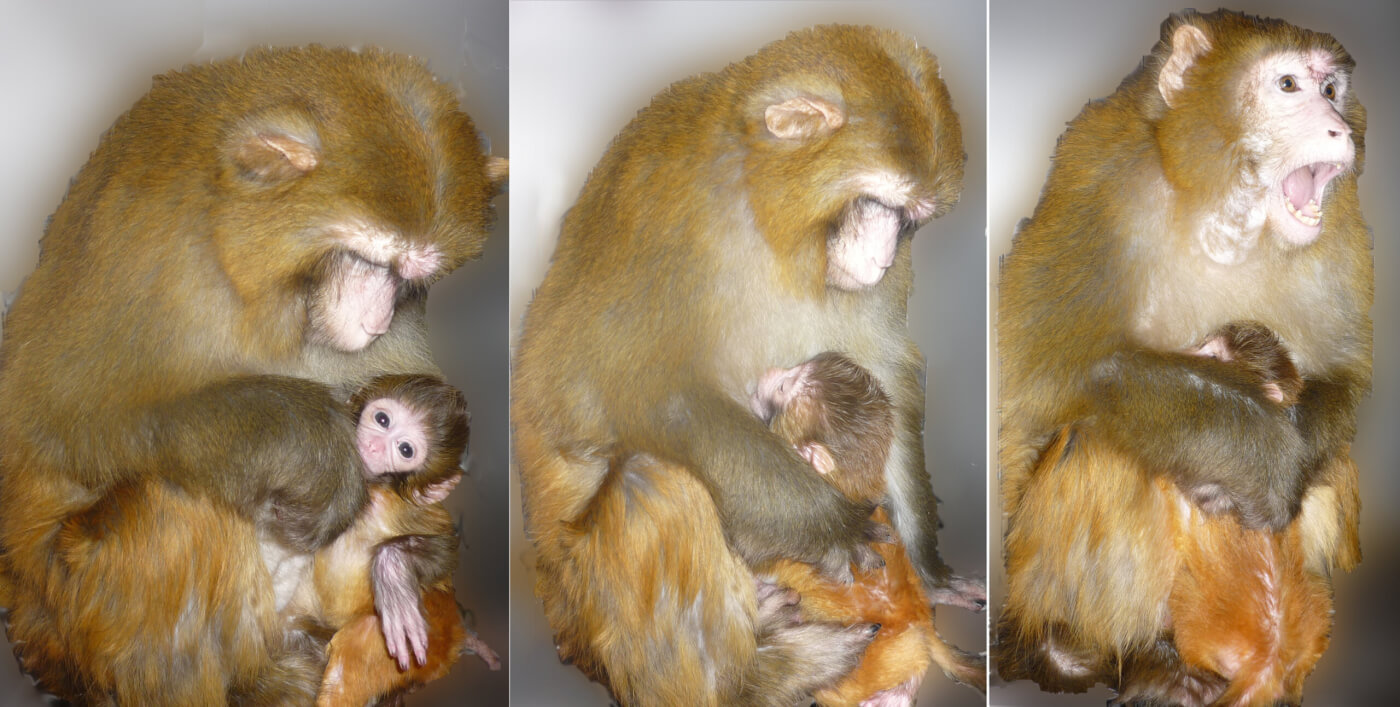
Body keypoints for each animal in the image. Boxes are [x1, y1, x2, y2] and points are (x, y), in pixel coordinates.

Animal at [0, 46, 506, 704]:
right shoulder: (152, 262)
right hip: (74, 614)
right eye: (366, 258)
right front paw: (315, 449)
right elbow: (76, 426)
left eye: (406, 278)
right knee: (170, 502)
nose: (373, 320)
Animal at [996, 9, 1370, 704]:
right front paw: (1261, 459)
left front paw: (1278, 457)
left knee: (1331, 460)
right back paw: (1094, 656)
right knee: (1099, 444)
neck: (1224, 212)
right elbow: (1052, 372)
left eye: (1331, 90)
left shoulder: (1341, 224)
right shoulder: (1100, 176)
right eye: (1287, 85)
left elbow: (1341, 376)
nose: (1336, 127)